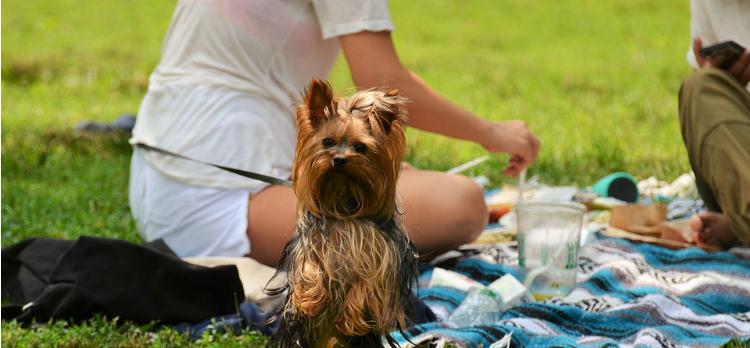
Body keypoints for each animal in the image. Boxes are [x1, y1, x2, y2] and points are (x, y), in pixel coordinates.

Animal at [268, 79, 420, 348]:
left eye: (360, 147)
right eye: (327, 142)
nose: (339, 159)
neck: (344, 209)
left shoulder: (385, 258)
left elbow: (368, 284)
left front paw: (350, 320)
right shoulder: (308, 244)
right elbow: (309, 266)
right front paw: (310, 297)